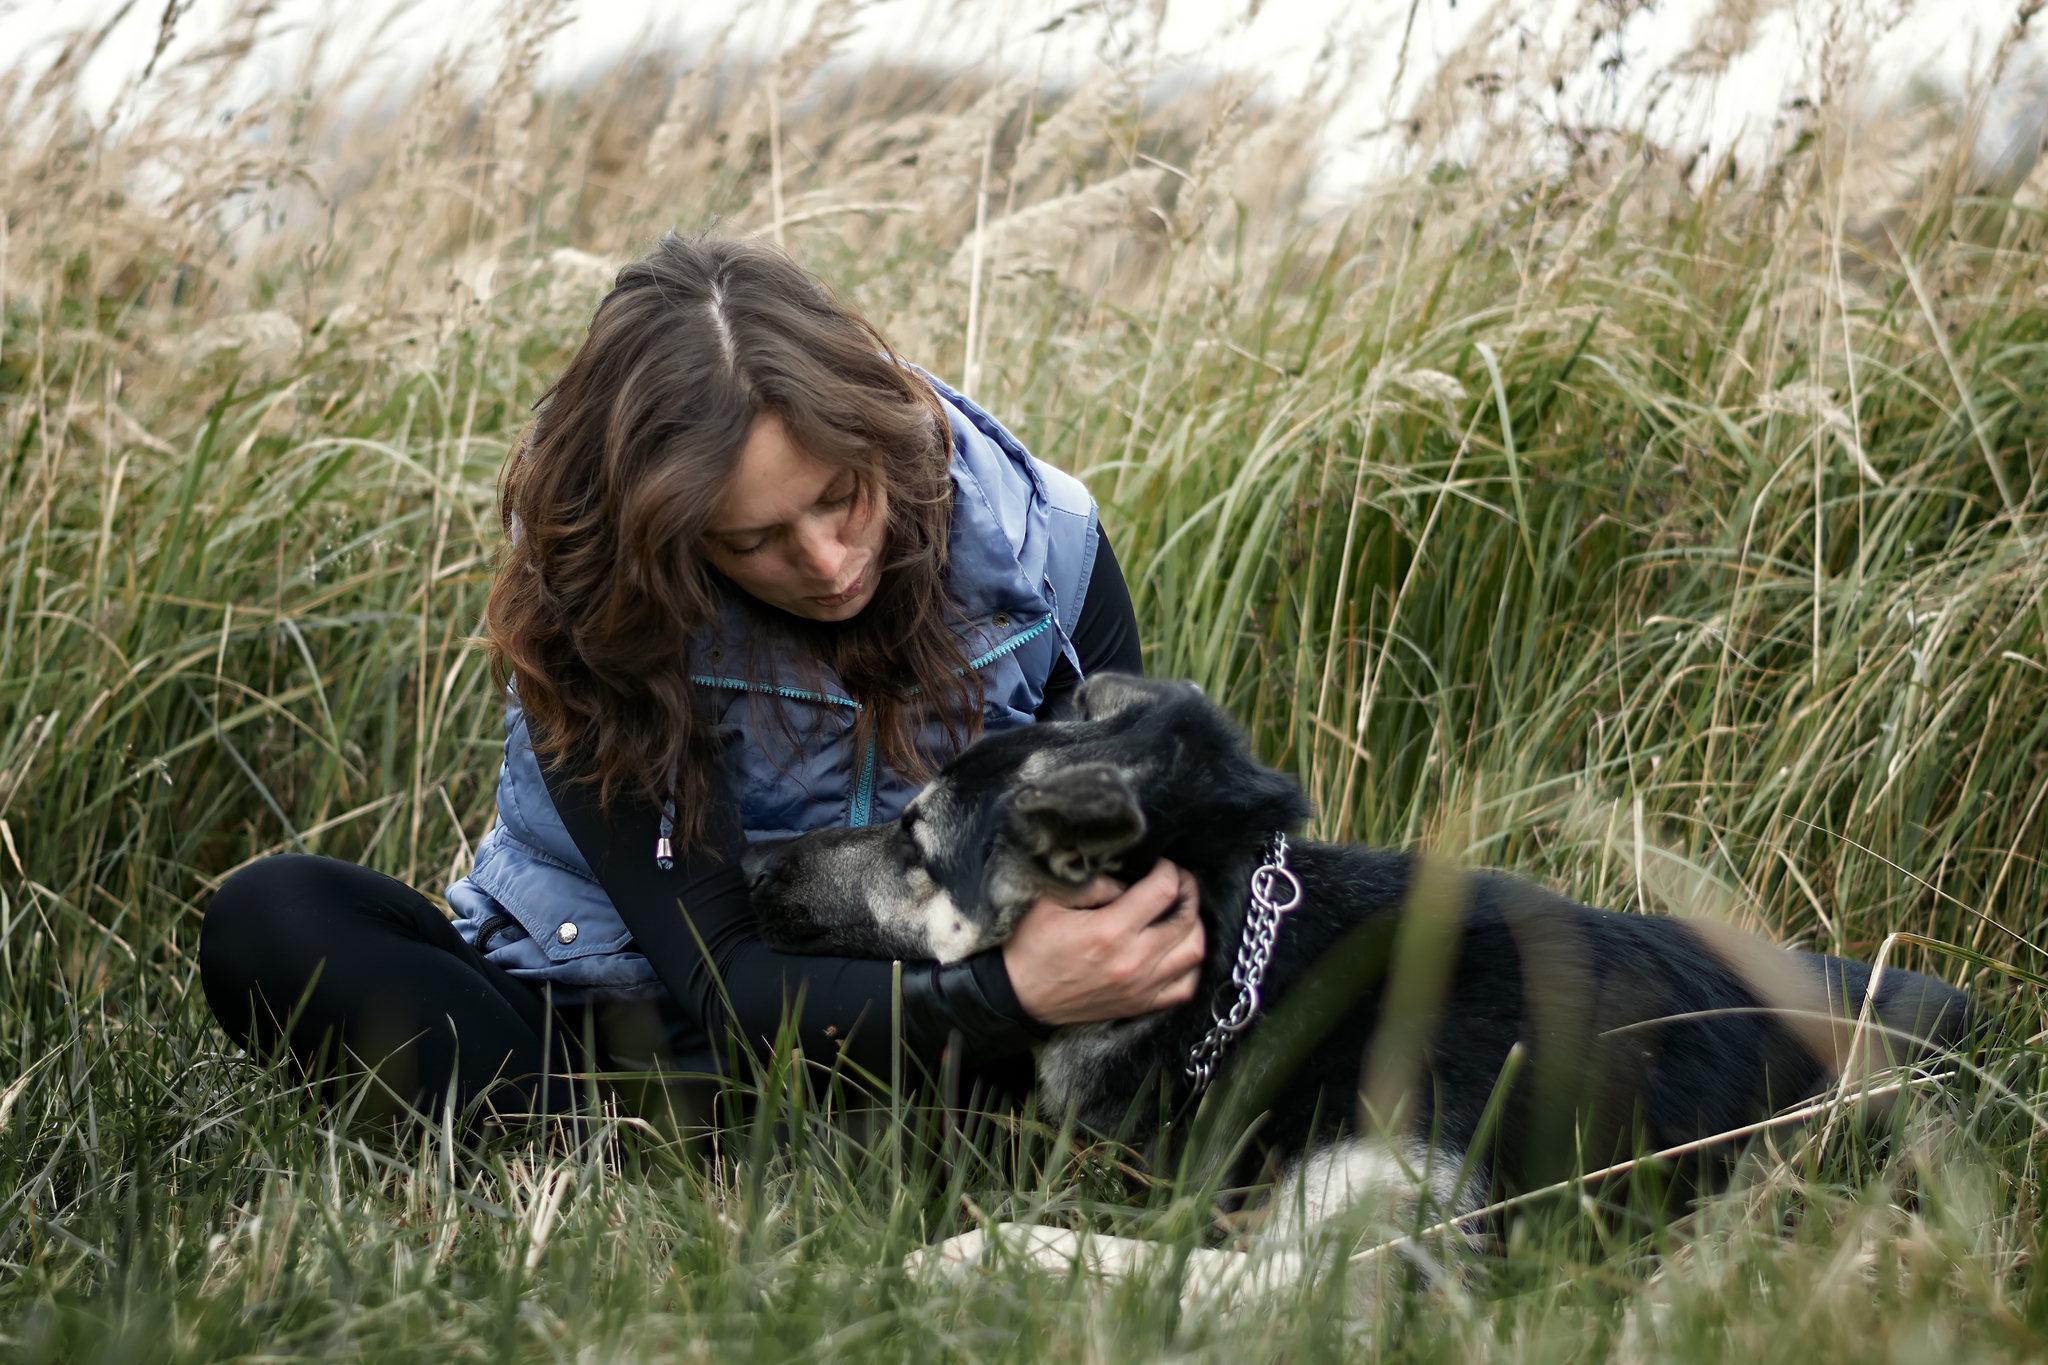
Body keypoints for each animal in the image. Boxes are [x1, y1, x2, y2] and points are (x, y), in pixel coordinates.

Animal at [749, 679, 1982, 1285]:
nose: (755, 871)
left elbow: (1043, 1242)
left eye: (914, 839)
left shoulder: (1350, 1268)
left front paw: (908, 1269)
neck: (1253, 975)